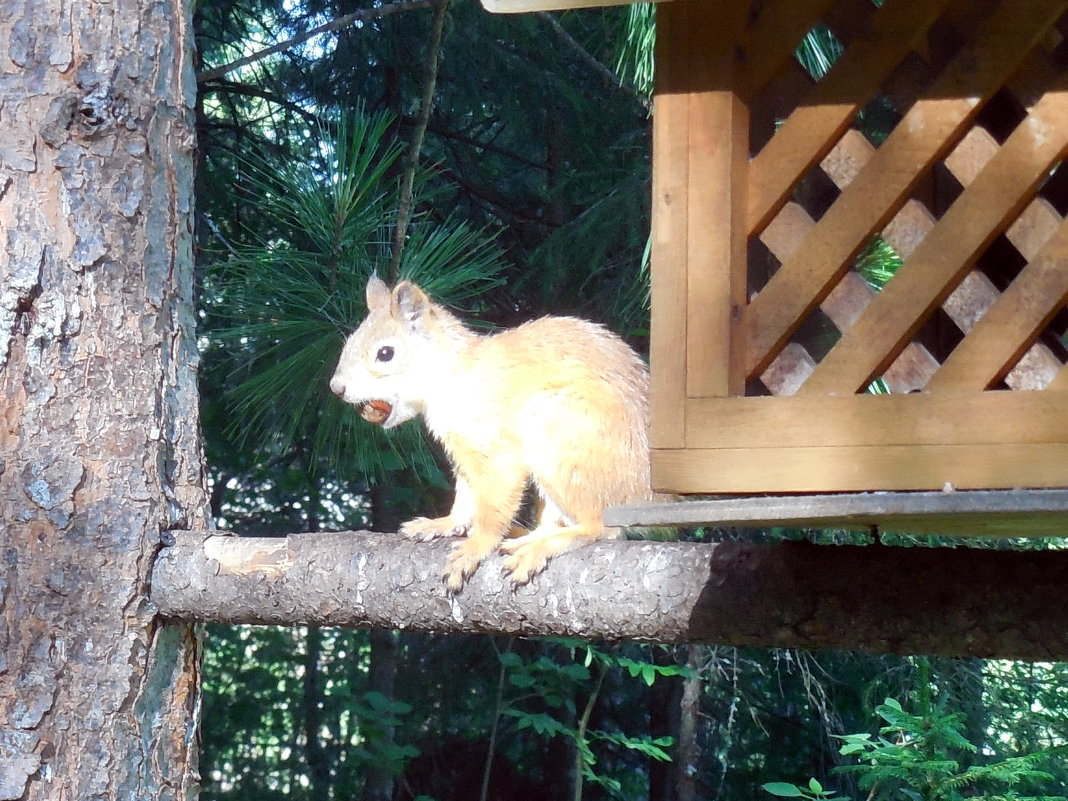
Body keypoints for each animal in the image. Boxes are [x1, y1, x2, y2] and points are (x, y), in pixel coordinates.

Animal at [328, 279, 653, 593]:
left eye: (385, 353)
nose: (336, 388)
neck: (453, 375)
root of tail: (644, 493)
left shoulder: (494, 447)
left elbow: (493, 504)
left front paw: (476, 546)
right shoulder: (462, 453)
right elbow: (466, 496)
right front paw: (444, 524)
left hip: (560, 435)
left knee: (600, 528)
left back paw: (539, 547)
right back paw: (530, 536)